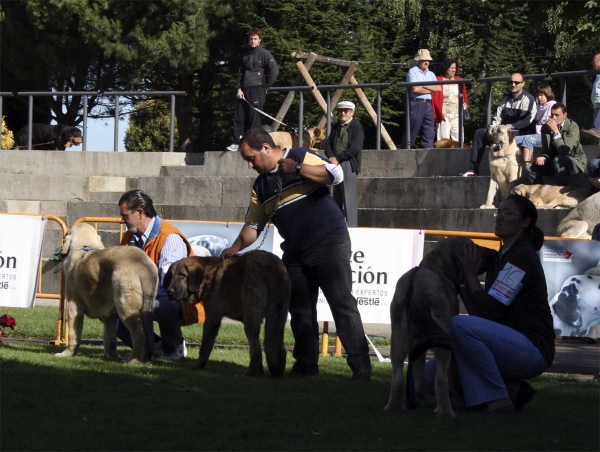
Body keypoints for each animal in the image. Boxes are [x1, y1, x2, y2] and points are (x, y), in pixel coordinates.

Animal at [55, 223, 158, 364]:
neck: (84, 246)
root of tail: (143, 266)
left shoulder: (72, 306)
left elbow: (73, 334)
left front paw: (66, 354)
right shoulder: (109, 316)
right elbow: (110, 337)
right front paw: (111, 356)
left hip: (125, 305)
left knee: (138, 334)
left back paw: (133, 360)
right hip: (146, 306)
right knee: (147, 332)